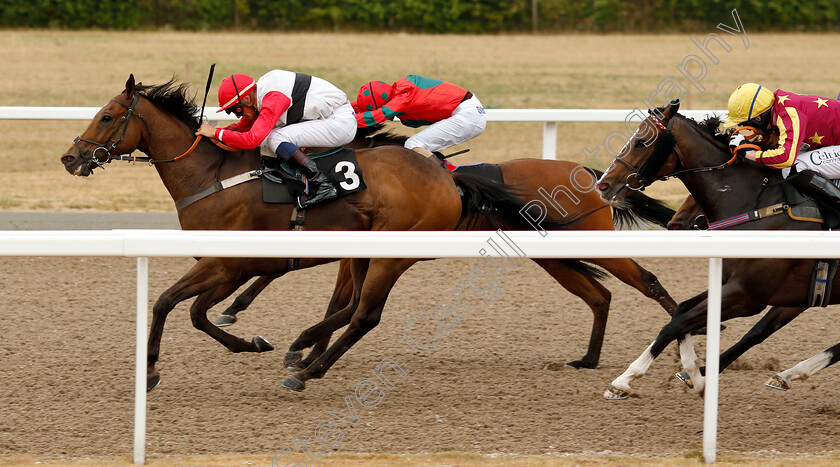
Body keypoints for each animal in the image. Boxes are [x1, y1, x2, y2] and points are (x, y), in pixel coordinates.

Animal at [60, 76, 584, 392]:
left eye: (107, 116)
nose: (70, 157)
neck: (210, 175)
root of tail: (445, 177)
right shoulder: (228, 265)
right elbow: (195, 312)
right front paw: (251, 342)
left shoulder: (228, 261)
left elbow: (170, 303)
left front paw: (150, 370)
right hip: (363, 250)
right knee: (352, 308)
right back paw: (303, 352)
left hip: (392, 251)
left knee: (365, 315)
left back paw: (307, 367)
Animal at [213, 128, 680, 380]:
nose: (274, 169)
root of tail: (587, 172)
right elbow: (333, 300)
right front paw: (305, 352)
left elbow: (304, 284)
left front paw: (287, 341)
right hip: (553, 259)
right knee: (599, 296)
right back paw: (588, 358)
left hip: (590, 240)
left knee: (647, 281)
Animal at [592, 100, 840, 400]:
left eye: (641, 142)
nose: (603, 185)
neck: (760, 205)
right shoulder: (753, 285)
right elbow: (683, 312)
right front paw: (694, 370)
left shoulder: (748, 295)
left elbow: (676, 324)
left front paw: (626, 379)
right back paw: (786, 374)